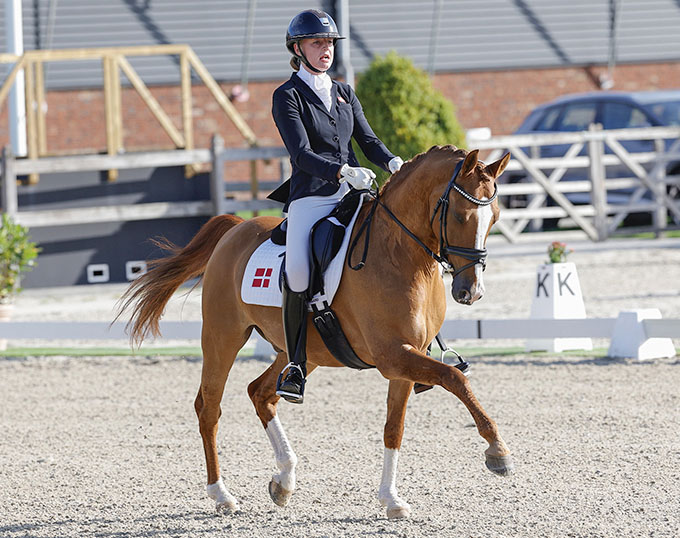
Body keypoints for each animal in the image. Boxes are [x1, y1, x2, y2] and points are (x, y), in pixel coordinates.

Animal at [116, 145, 513, 519]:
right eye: (460, 215)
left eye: (494, 218)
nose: (471, 292)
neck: (400, 254)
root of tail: (235, 228)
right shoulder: (393, 356)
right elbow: (455, 379)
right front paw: (497, 451)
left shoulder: (404, 360)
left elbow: (393, 429)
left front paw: (391, 500)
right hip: (222, 337)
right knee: (209, 407)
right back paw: (222, 495)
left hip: (299, 351)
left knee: (261, 393)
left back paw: (283, 480)